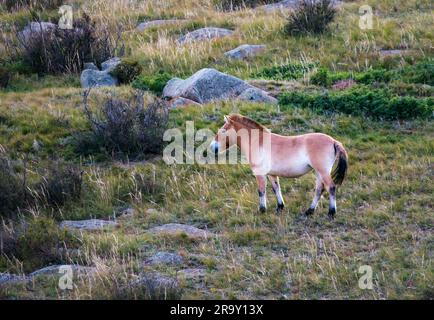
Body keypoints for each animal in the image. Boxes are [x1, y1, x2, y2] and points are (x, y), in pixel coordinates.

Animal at [211, 114, 350, 219]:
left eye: (223, 130)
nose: (213, 147)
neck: (258, 142)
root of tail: (333, 141)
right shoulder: (272, 174)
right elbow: (276, 188)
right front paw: (280, 207)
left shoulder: (260, 174)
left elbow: (261, 191)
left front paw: (262, 210)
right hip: (318, 172)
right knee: (319, 189)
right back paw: (309, 211)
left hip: (323, 172)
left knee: (331, 187)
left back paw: (331, 213)